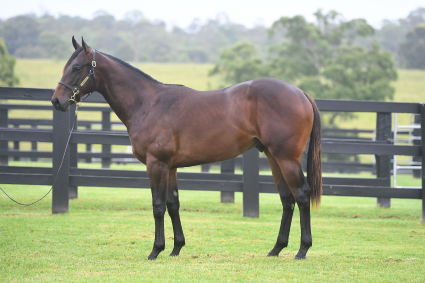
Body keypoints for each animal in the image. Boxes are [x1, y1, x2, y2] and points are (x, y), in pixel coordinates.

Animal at [50, 37, 322, 262]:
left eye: (77, 68)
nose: (56, 101)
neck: (148, 104)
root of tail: (300, 93)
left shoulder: (156, 164)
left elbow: (158, 205)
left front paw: (155, 250)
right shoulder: (170, 167)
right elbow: (173, 204)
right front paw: (176, 248)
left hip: (287, 158)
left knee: (301, 195)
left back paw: (302, 250)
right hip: (274, 157)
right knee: (287, 199)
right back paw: (276, 248)